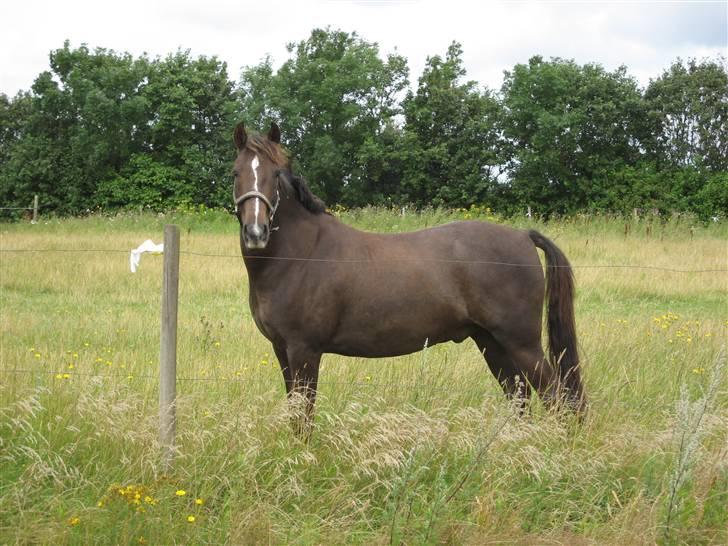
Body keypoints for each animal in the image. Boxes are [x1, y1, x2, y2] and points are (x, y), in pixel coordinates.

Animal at [232, 121, 584, 432]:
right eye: (236, 173)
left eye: (276, 174)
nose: (256, 232)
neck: (300, 254)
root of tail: (523, 236)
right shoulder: (282, 349)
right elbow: (295, 412)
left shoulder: (304, 350)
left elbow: (303, 416)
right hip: (491, 342)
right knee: (520, 398)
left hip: (521, 343)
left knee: (556, 397)